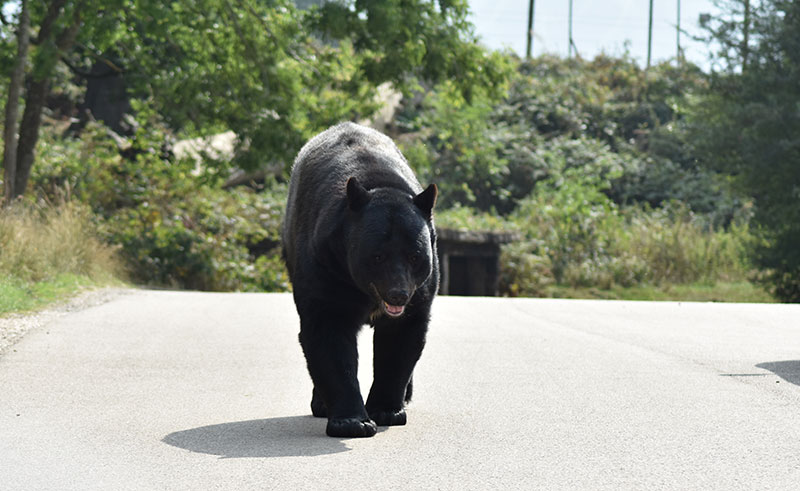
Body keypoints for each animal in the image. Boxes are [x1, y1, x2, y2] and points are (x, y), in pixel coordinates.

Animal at [281, 122, 439, 438]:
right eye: (377, 256)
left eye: (415, 256)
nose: (398, 294)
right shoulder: (325, 265)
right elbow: (328, 333)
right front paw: (352, 422)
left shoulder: (422, 291)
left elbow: (401, 339)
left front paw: (387, 410)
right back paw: (321, 404)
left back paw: (406, 396)